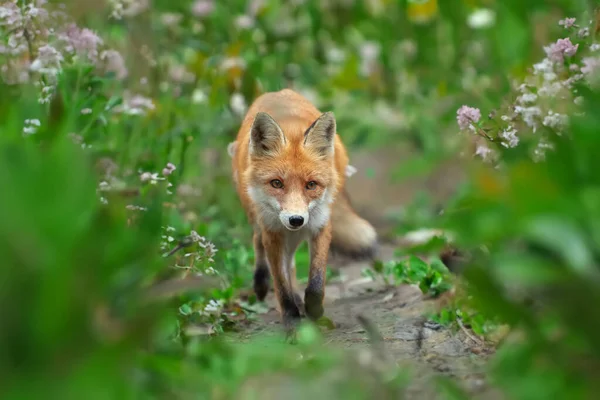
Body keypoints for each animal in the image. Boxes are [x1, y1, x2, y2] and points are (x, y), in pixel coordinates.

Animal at [231, 88, 378, 334]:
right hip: (261, 220)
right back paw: (261, 283)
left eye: (311, 185)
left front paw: (314, 311)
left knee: (290, 263)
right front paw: (291, 322)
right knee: (258, 243)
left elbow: (316, 282)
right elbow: (281, 286)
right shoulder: (272, 231)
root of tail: (277, 92)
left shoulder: (320, 225)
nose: (296, 219)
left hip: (297, 233)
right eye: (277, 183)